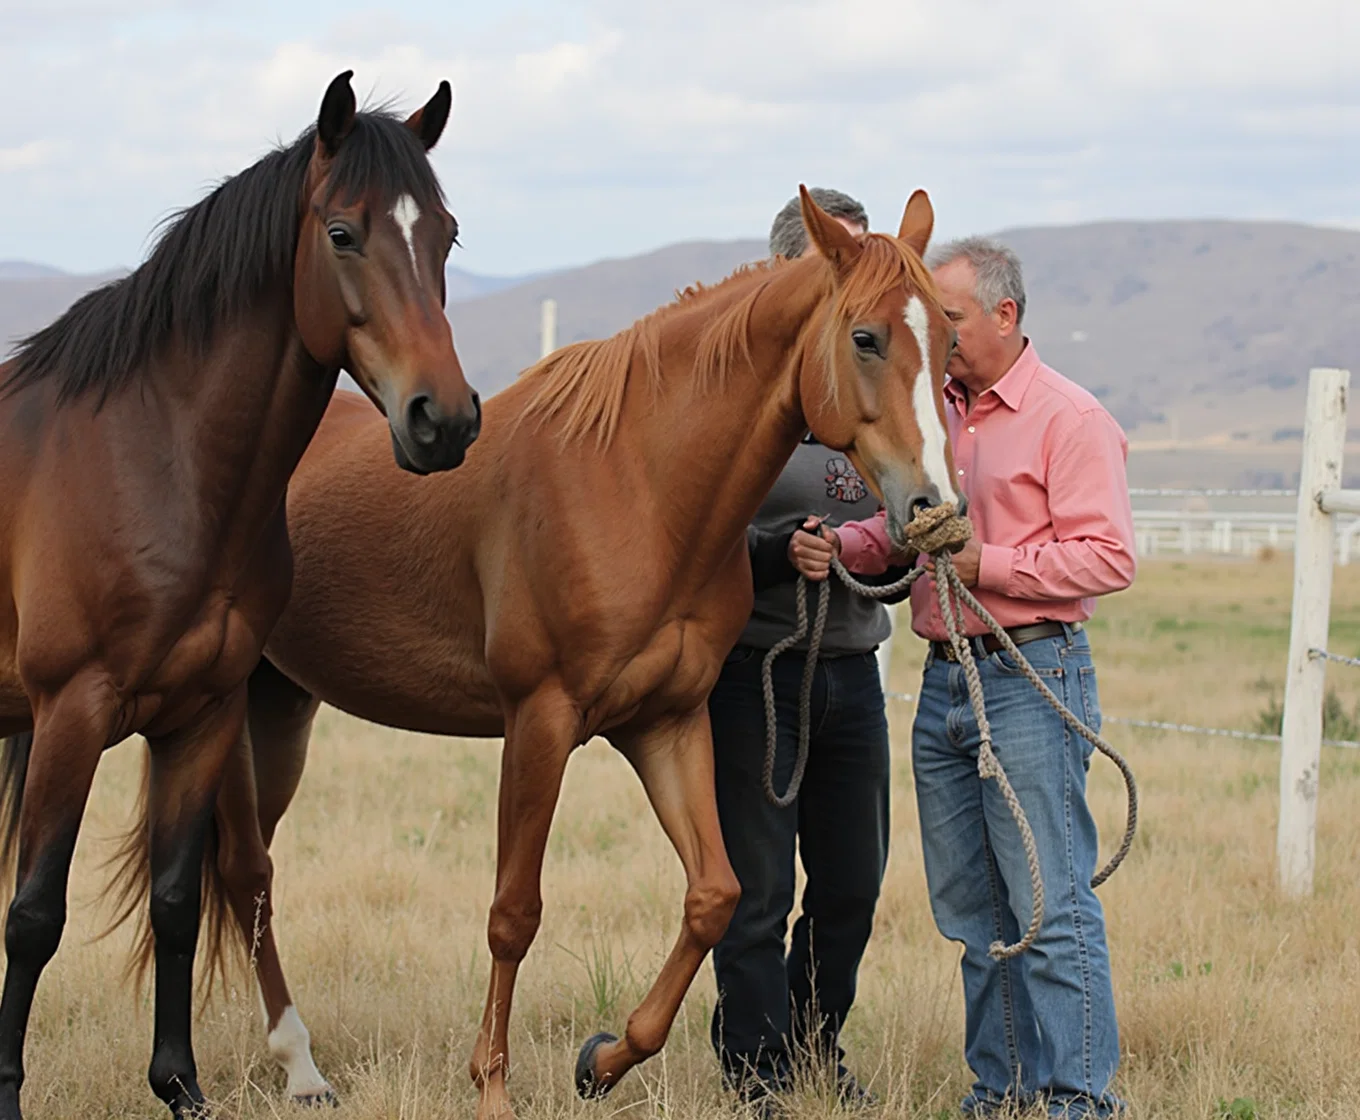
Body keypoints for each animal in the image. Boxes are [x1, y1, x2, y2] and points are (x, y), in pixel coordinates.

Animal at [0, 72, 481, 1120]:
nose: (445, 420)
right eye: (342, 232)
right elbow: (34, 914)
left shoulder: (205, 712)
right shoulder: (71, 713)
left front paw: (179, 1085)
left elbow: (180, 900)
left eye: (448, 233)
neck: (153, 463)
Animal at [122, 187, 962, 1114]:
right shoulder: (540, 722)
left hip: (280, 708)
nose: (932, 506)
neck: (636, 483)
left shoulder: (668, 724)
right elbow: (513, 911)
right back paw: (296, 1063)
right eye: (866, 337)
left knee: (250, 875)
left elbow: (715, 895)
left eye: (950, 340)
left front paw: (603, 1060)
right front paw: (491, 1083)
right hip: (228, 708)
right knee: (246, 870)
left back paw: (299, 1065)